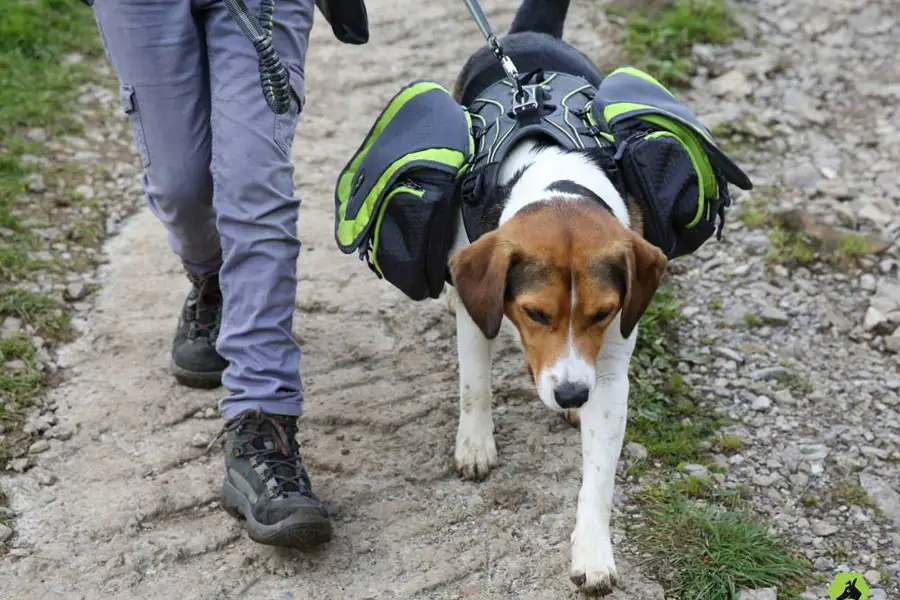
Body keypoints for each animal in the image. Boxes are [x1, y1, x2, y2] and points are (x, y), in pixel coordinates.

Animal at [444, 0, 668, 596]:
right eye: (535, 313)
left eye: (603, 313)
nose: (571, 393)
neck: (556, 177)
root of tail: (530, 35)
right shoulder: (474, 301)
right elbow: (475, 381)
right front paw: (475, 443)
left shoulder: (609, 371)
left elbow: (598, 479)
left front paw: (592, 551)